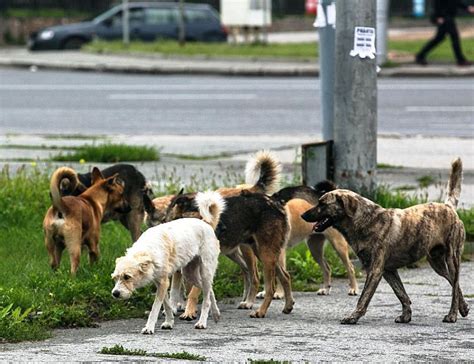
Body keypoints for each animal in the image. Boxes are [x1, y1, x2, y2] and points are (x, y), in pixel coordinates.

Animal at [111, 191, 224, 332]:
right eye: (115, 278)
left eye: (127, 277)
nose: (115, 293)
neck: (147, 250)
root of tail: (206, 223)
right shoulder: (161, 283)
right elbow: (167, 305)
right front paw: (169, 322)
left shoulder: (163, 283)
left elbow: (155, 308)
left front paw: (149, 327)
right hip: (190, 274)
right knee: (209, 291)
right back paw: (216, 314)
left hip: (205, 271)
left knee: (206, 299)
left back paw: (202, 322)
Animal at [302, 159, 468, 324]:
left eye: (322, 204)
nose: (302, 215)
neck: (365, 221)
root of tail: (448, 206)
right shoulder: (389, 271)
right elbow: (401, 293)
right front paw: (406, 315)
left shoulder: (375, 270)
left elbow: (364, 297)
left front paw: (353, 316)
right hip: (436, 263)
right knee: (454, 283)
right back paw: (464, 307)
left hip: (452, 258)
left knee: (454, 285)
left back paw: (452, 315)